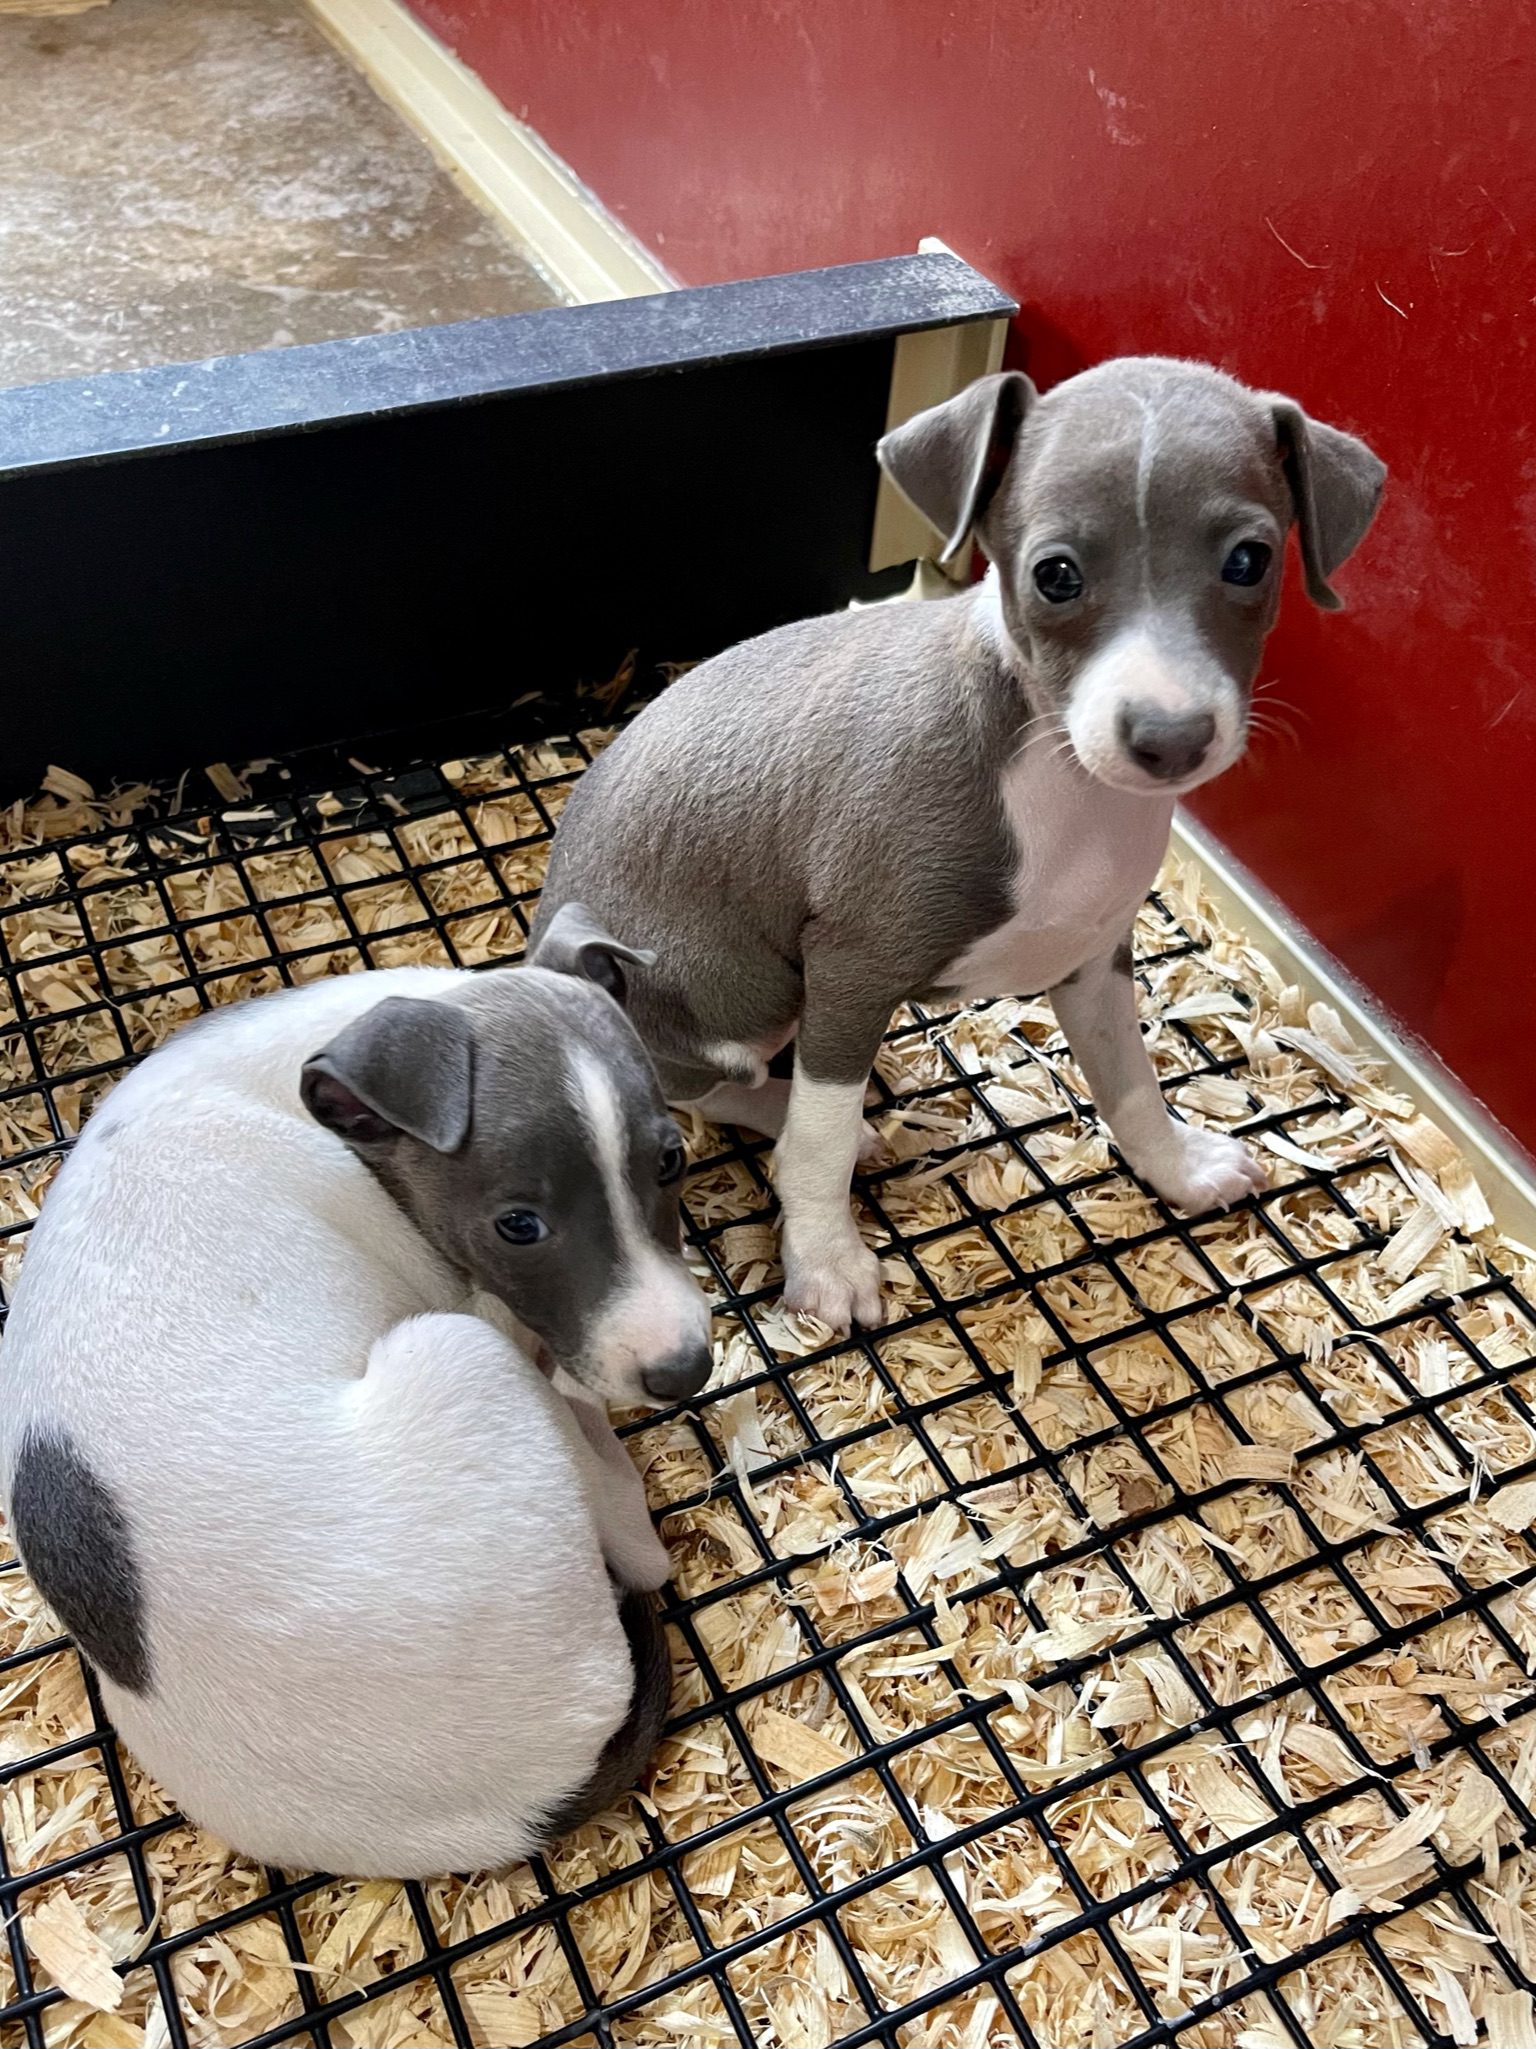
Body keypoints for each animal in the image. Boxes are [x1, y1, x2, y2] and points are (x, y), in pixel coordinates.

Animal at [536, 358, 1392, 1327]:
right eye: (1055, 575)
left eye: (1250, 560)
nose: (1170, 738)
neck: (1060, 778)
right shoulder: (851, 970)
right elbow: (821, 1139)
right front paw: (825, 1262)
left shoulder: (1094, 959)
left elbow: (1130, 1079)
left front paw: (1176, 1165)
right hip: (736, 992)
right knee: (712, 1084)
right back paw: (783, 1109)